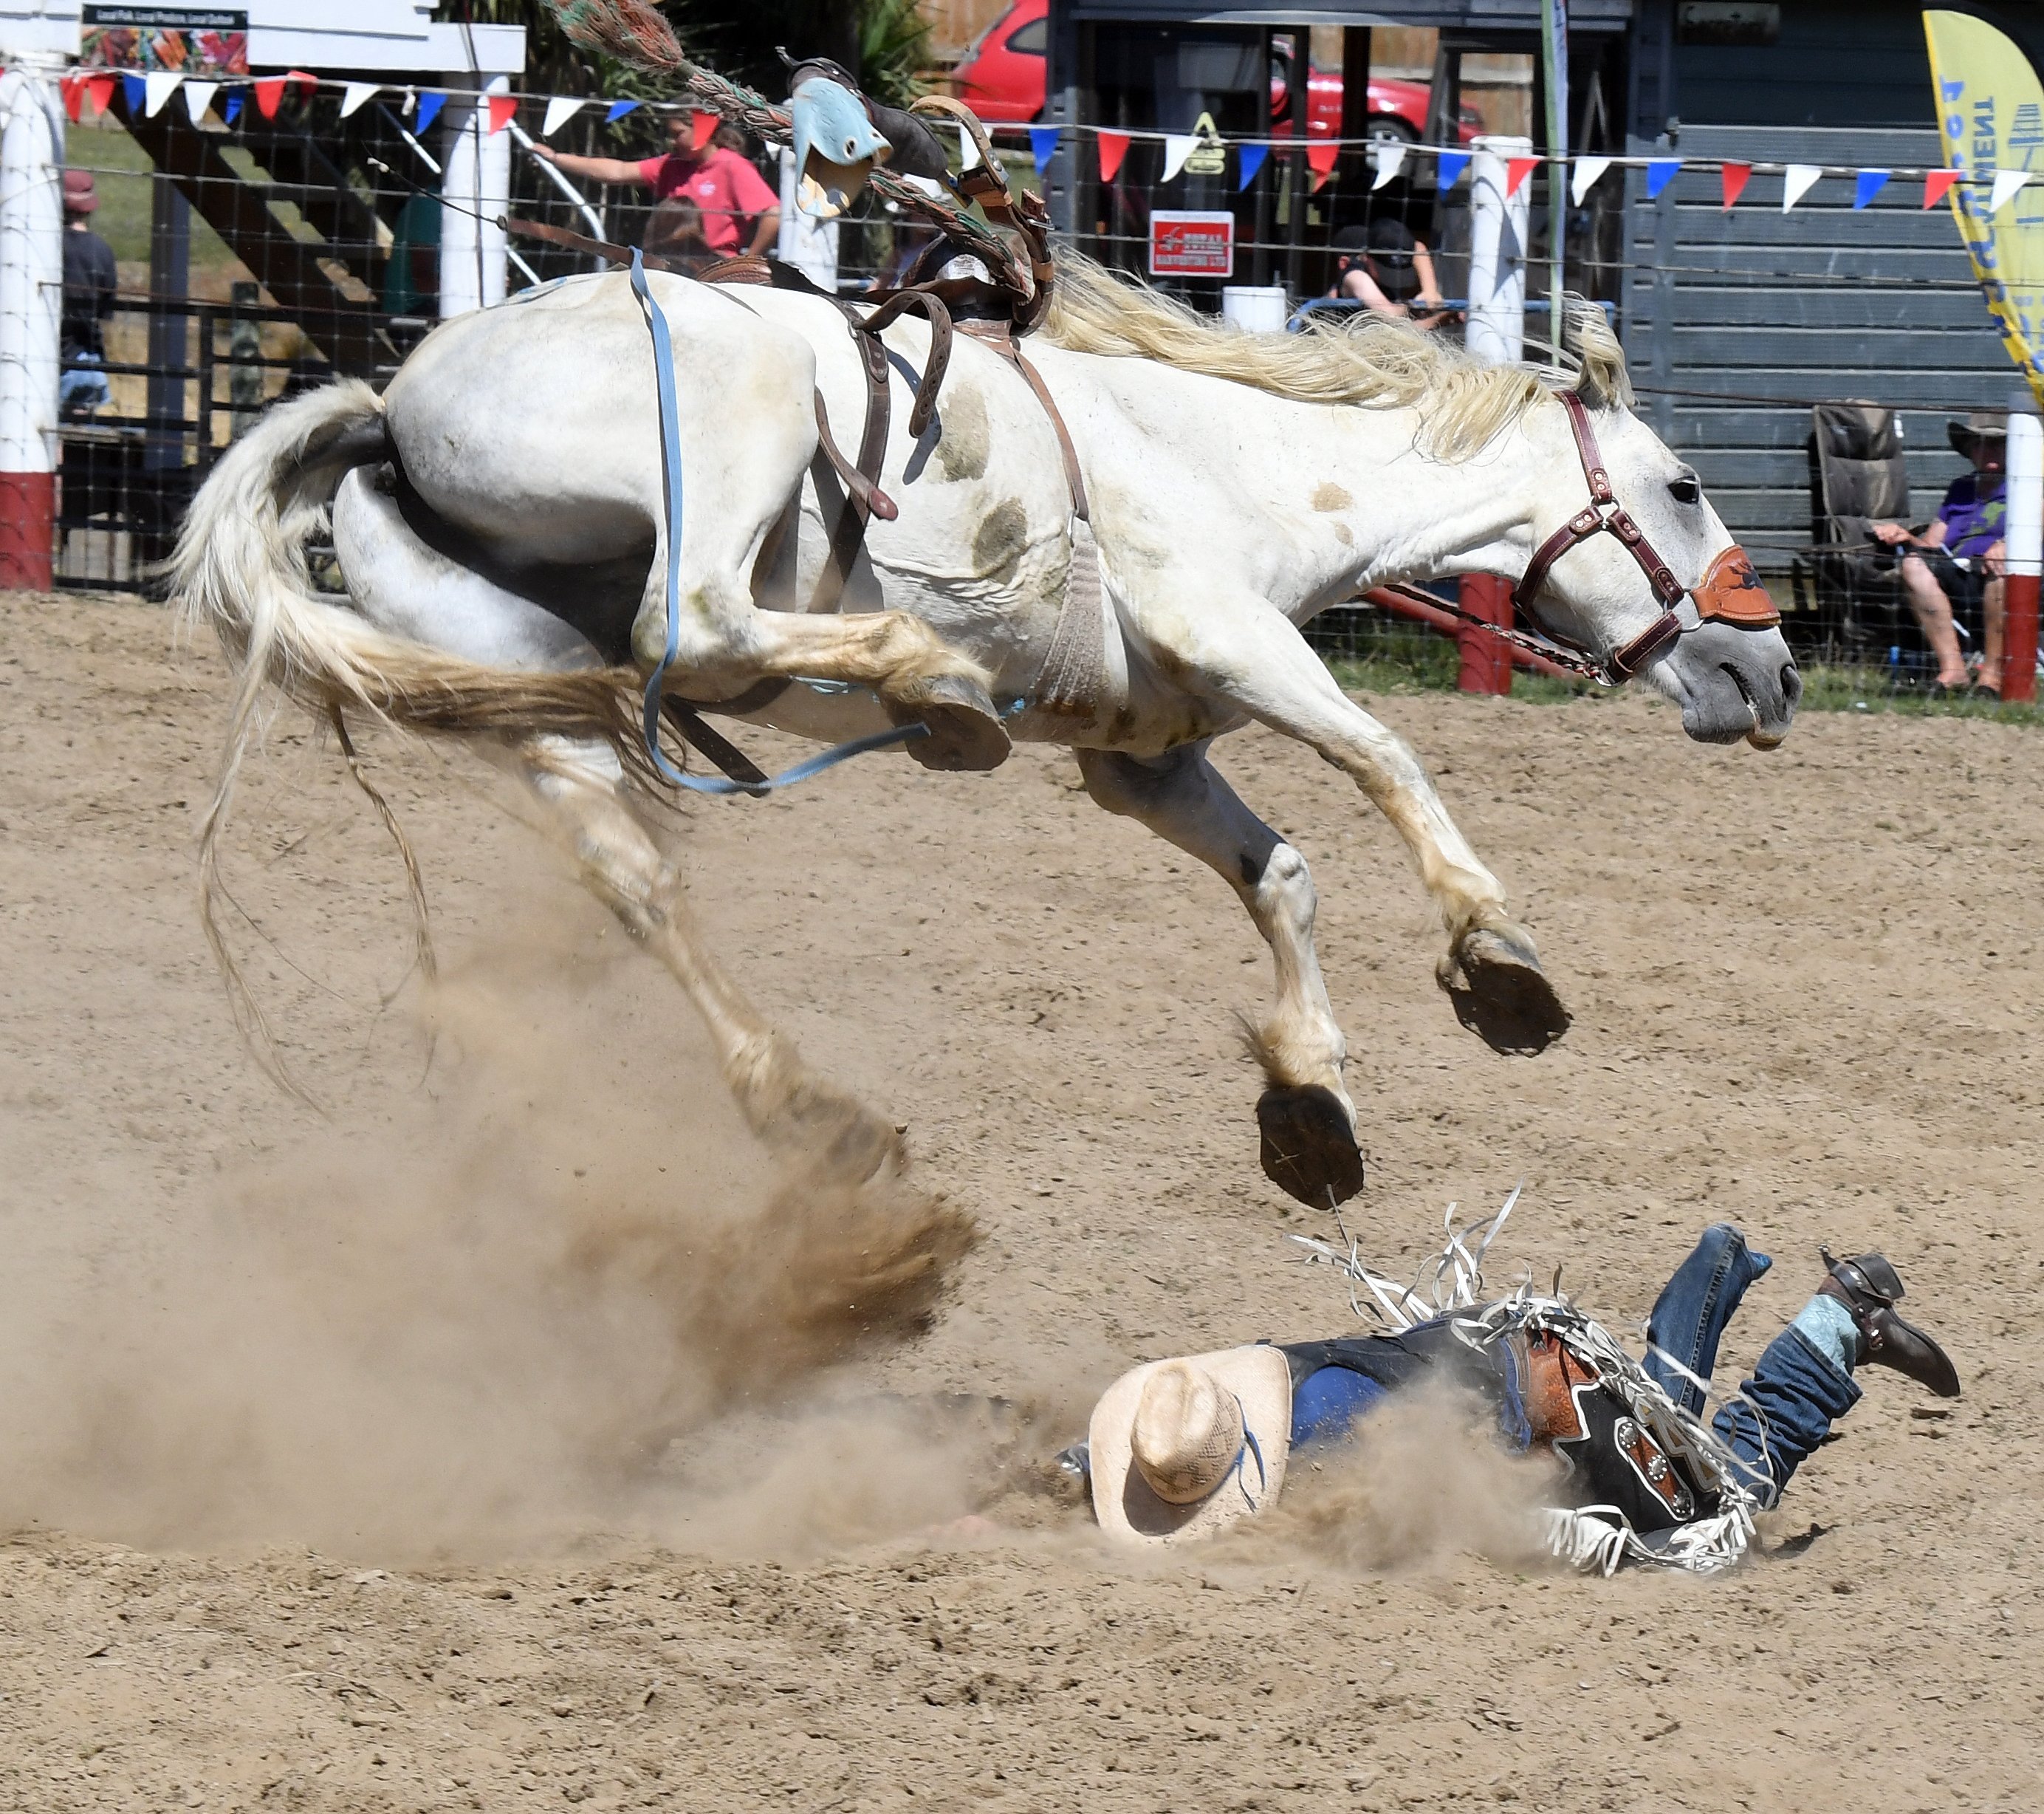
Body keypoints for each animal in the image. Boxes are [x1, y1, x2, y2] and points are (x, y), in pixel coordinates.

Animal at [179, 259, 1806, 1202]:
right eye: (1678, 489)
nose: (1773, 671)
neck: (1233, 454)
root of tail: (388, 406)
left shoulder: (1140, 753)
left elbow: (1278, 874)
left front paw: (1310, 1098)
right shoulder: (1232, 636)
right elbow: (1380, 757)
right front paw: (1495, 954)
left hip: (529, 702)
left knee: (636, 876)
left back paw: (803, 1098)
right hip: (736, 407)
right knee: (687, 621)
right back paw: (931, 682)